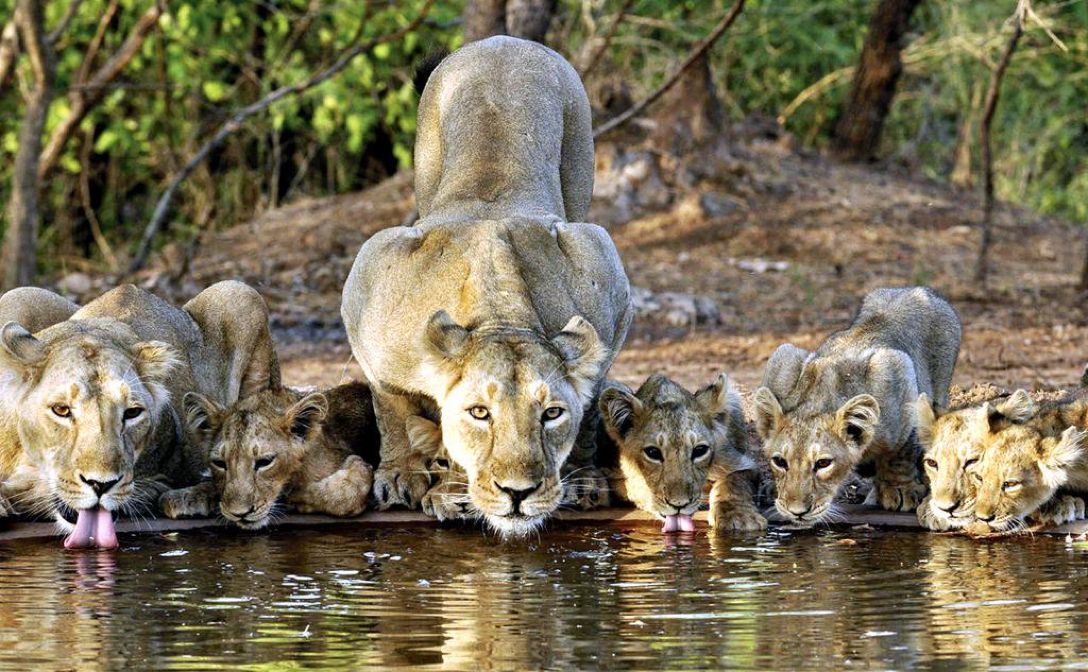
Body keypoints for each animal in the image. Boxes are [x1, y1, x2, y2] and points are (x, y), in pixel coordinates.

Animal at [0, 282, 279, 548]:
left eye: (132, 413)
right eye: (61, 410)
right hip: (19, 295)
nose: (101, 484)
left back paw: (192, 499)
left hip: (240, 294)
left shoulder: (163, 468)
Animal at [159, 382, 380, 529]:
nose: (239, 514)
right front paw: (186, 496)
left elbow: (351, 491)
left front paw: (294, 499)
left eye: (264, 462)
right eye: (220, 463)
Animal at [340, 36, 631, 537]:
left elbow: (591, 403)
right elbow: (391, 407)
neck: (500, 312)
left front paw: (585, 479)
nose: (519, 492)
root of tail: (503, 41)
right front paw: (402, 476)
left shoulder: (607, 292)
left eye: (551, 413)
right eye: (480, 413)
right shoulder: (369, 282)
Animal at [597, 373, 766, 533]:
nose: (679, 504)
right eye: (652, 452)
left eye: (700, 450)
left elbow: (734, 482)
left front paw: (740, 517)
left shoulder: (739, 462)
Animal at [753, 287, 960, 526]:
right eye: (779, 461)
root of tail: (916, 289)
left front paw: (899, 490)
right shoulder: (782, 358)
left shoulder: (896, 369)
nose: (797, 512)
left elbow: (900, 452)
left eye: (823, 463)